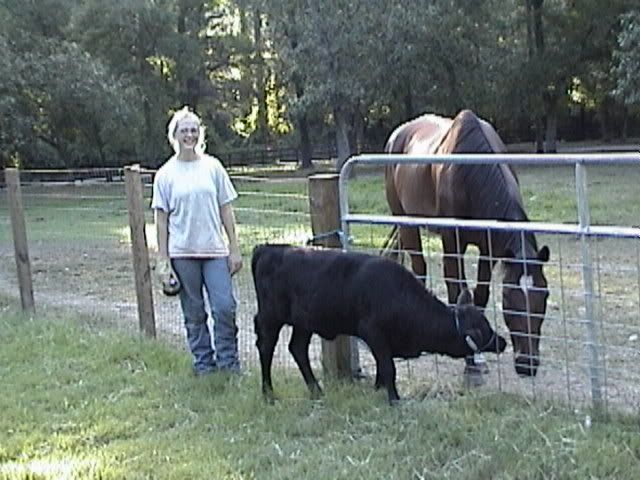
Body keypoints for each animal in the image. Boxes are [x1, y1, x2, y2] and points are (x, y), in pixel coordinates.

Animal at [251, 244, 507, 404]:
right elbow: (388, 367)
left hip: (304, 323)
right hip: (270, 318)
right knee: (266, 348)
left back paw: (316, 390)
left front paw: (378, 389)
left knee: (297, 349)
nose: (502, 342)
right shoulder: (373, 332)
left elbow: (381, 367)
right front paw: (394, 399)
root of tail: (267, 248)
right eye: (485, 330)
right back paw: (268, 394)